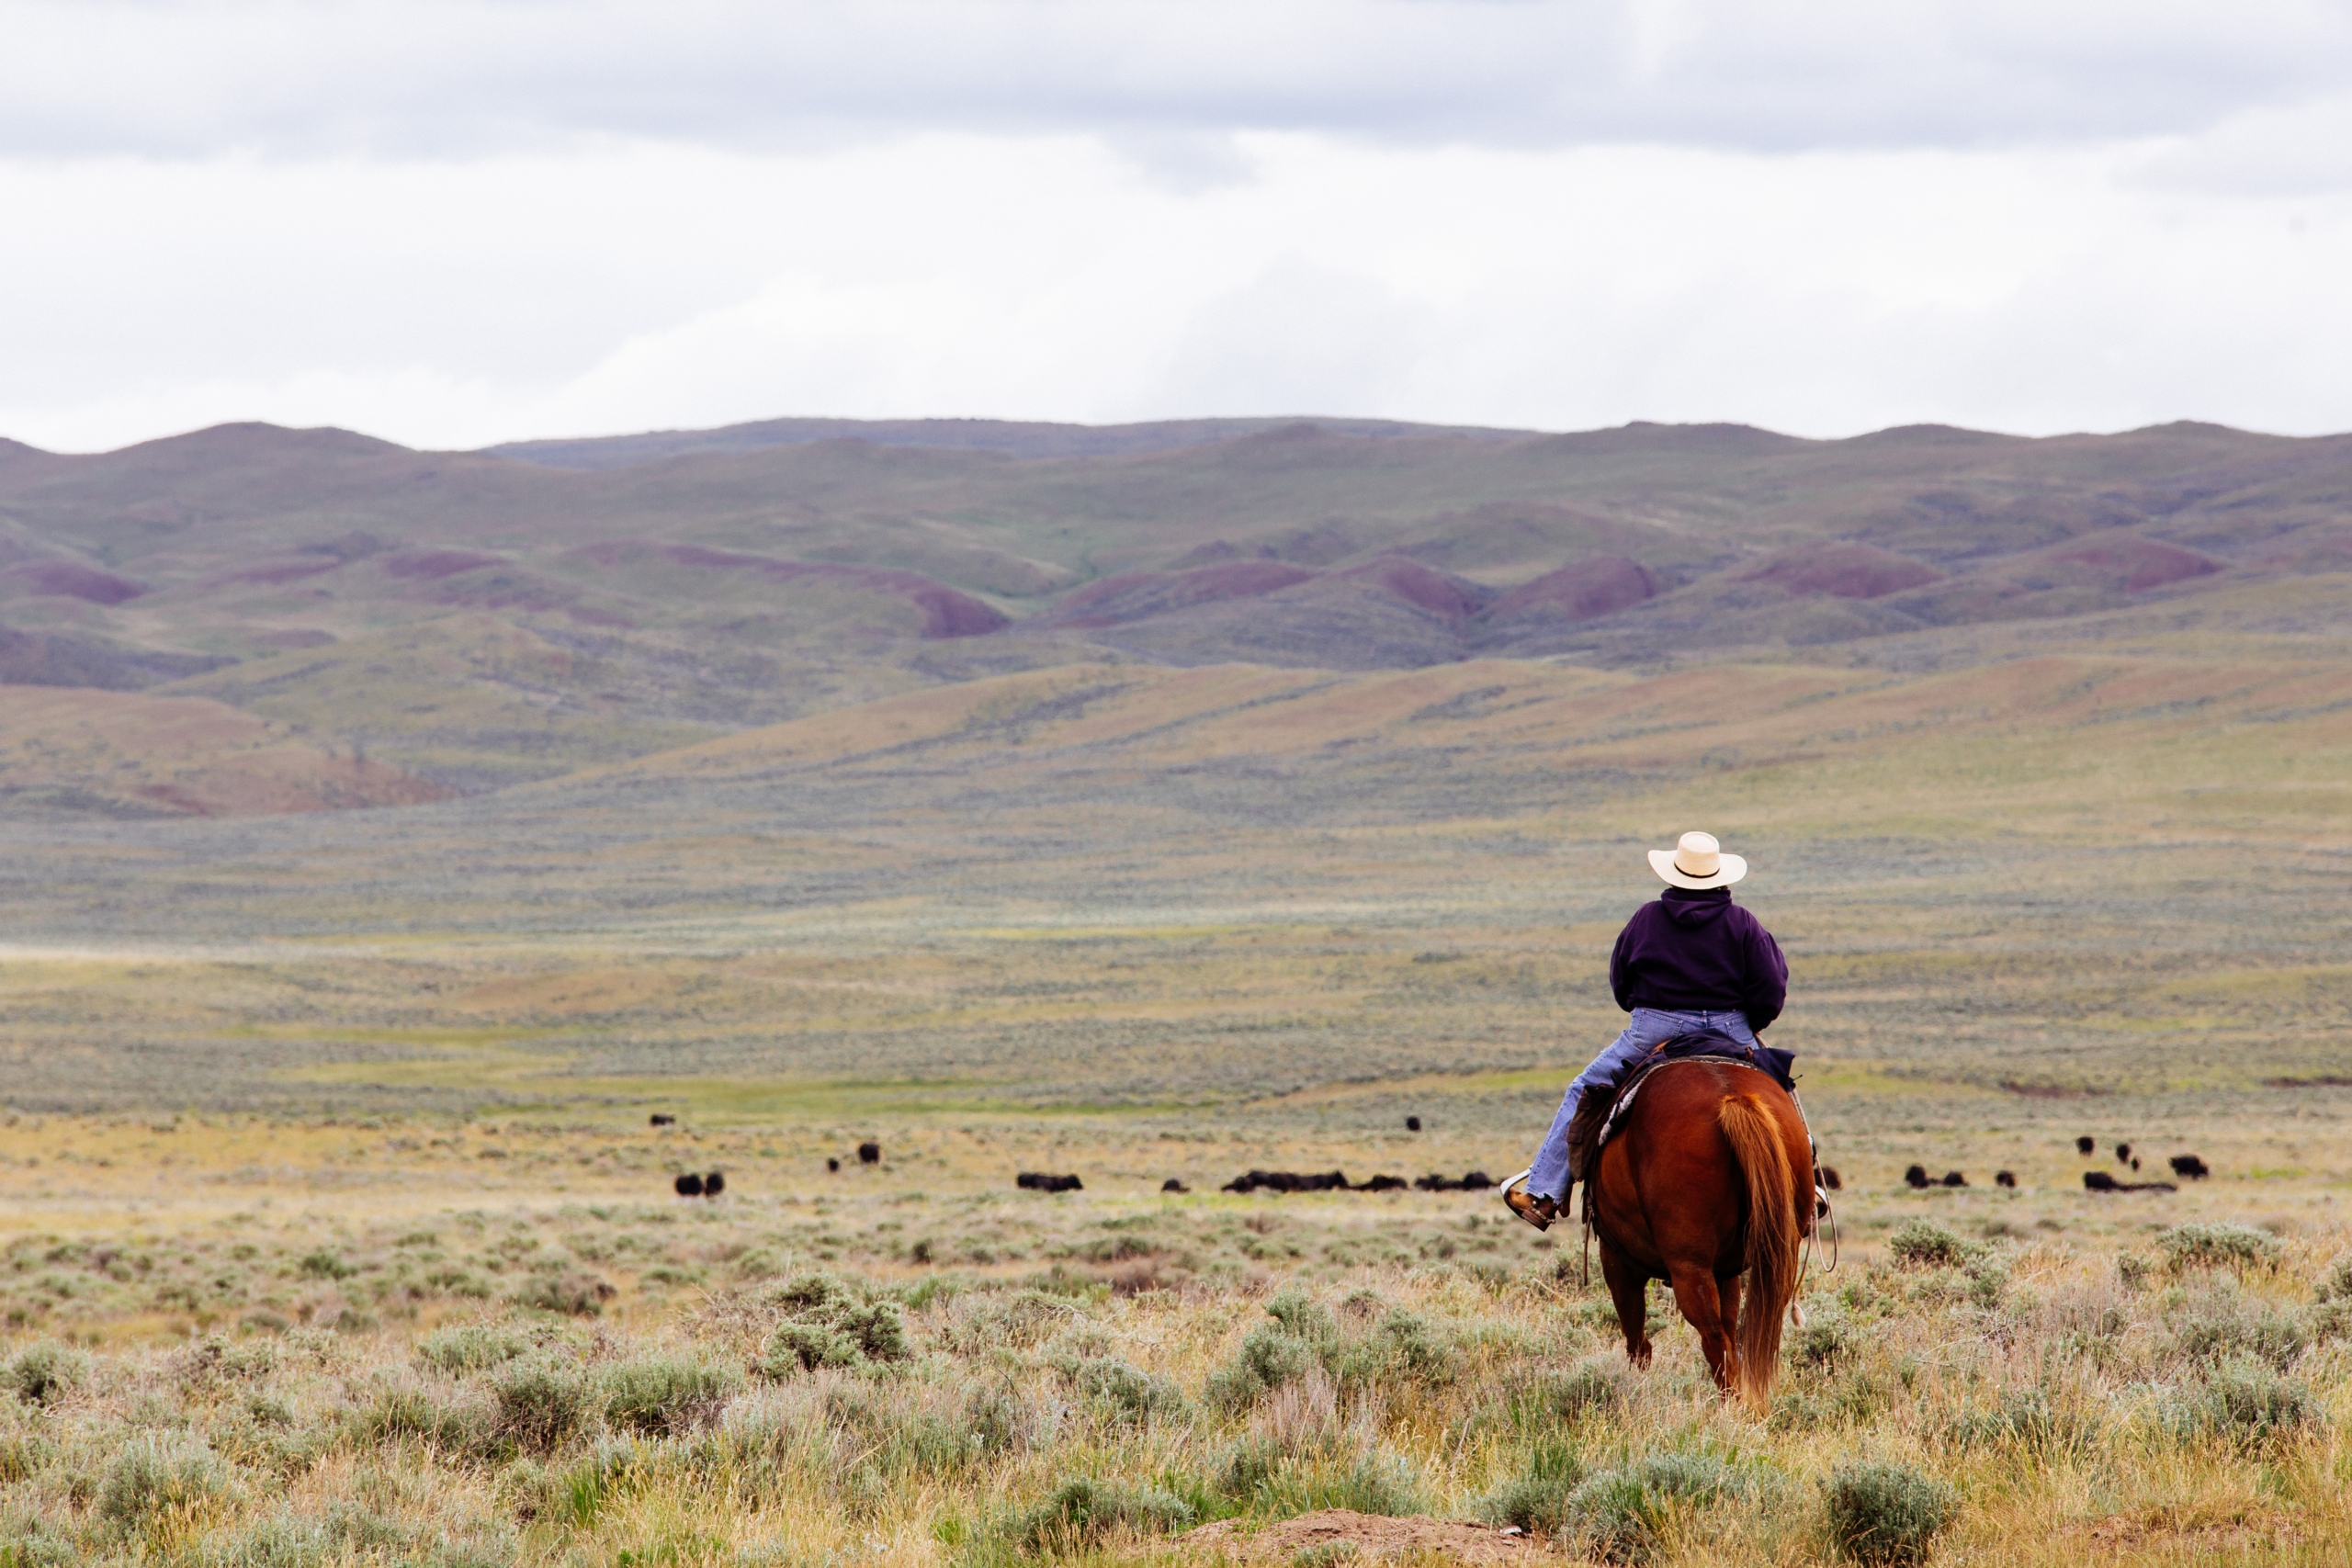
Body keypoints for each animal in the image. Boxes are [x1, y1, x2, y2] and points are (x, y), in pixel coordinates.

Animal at [1589, 1053, 1806, 1410]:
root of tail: (1732, 1098)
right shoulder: (1727, 1270)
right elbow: (1731, 1322)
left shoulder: (1617, 1257)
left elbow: (1635, 1332)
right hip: (1776, 1254)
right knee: (1751, 1328)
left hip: (1688, 1266)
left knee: (1711, 1336)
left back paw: (1735, 1407)